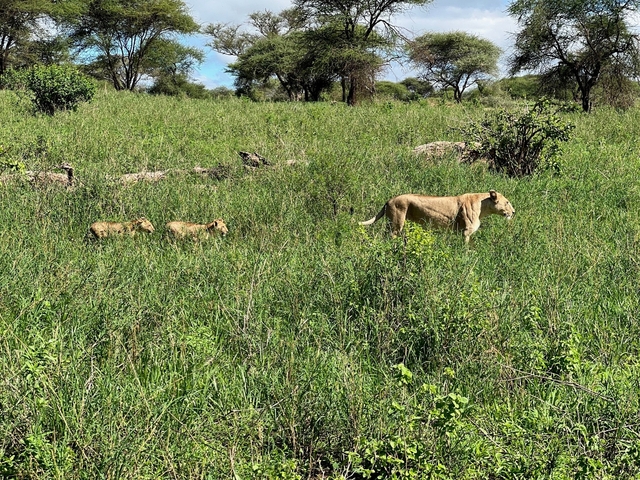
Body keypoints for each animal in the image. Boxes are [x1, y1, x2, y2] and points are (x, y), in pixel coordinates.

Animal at [359, 190, 515, 243]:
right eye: (507, 202)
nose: (513, 212)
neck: (482, 206)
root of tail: (389, 200)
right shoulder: (466, 232)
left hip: (391, 223)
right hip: (397, 224)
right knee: (391, 236)